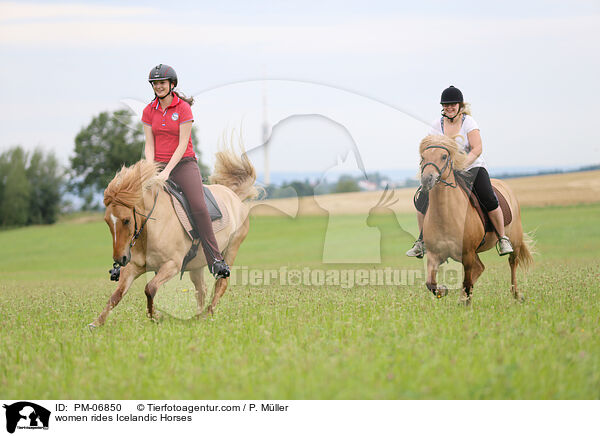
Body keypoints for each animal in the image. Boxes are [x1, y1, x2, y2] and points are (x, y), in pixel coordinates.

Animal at [89, 150, 258, 328]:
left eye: (126, 220)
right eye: (107, 221)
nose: (119, 259)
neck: (149, 231)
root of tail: (234, 196)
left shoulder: (172, 265)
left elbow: (150, 288)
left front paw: (155, 316)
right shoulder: (133, 267)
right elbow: (117, 295)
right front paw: (96, 323)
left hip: (231, 249)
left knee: (221, 284)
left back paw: (207, 314)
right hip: (197, 264)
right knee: (201, 289)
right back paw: (197, 318)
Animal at [420, 135, 532, 304]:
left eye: (444, 156)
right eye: (423, 157)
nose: (427, 179)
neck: (445, 215)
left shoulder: (467, 254)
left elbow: (467, 283)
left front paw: (466, 305)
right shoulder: (435, 254)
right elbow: (430, 283)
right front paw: (443, 291)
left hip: (515, 242)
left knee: (512, 264)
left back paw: (517, 295)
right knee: (480, 268)